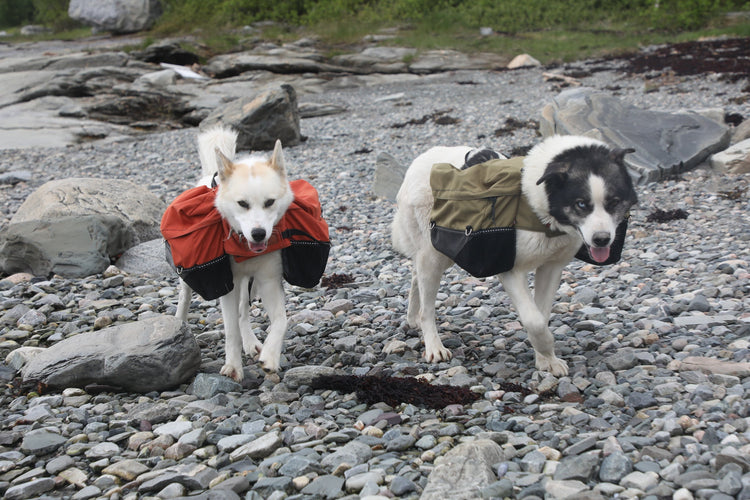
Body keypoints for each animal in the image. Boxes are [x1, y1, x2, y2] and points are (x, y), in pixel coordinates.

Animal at [176, 127, 294, 380]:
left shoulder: (269, 281)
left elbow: (281, 320)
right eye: (242, 204)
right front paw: (233, 366)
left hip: (249, 285)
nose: (258, 234)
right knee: (184, 299)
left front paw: (270, 356)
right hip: (189, 280)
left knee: (243, 313)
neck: (244, 248)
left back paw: (250, 342)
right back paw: (177, 325)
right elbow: (230, 331)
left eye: (270, 202)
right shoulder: (227, 286)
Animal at [394, 136, 640, 376]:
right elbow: (535, 321)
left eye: (614, 202)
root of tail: (419, 160)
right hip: (435, 253)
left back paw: (412, 319)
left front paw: (546, 359)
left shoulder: (551, 267)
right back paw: (433, 345)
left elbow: (541, 315)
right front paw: (547, 348)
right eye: (581, 204)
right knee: (427, 304)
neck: (538, 207)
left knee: (416, 276)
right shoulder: (510, 270)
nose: (602, 239)